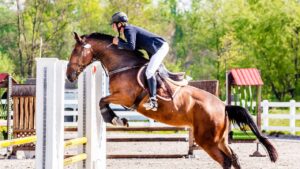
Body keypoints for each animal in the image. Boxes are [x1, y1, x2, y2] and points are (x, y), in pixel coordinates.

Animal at [67, 32, 278, 169]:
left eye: (76, 51)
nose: (69, 76)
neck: (123, 65)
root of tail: (223, 106)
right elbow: (102, 101)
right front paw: (117, 119)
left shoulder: (125, 96)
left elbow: (102, 101)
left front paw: (115, 119)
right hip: (218, 139)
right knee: (232, 158)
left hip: (207, 140)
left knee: (226, 160)